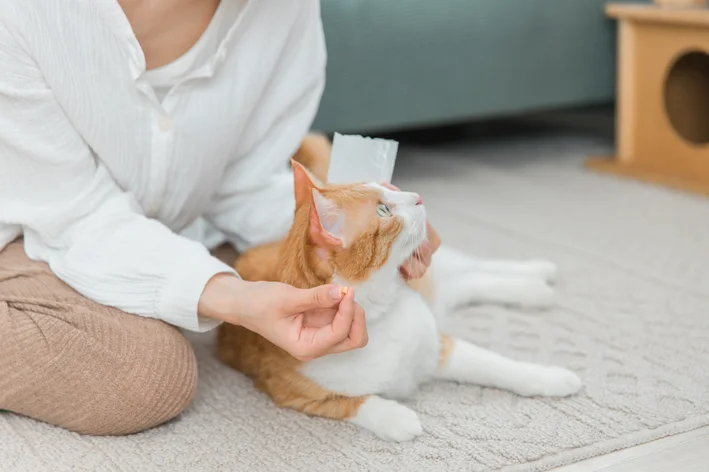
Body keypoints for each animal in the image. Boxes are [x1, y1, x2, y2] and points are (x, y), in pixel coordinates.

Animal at [217, 158, 580, 442]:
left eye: (387, 190)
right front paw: (397, 417)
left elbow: (495, 365)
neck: (382, 312)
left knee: (473, 268)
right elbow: (353, 403)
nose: (416, 196)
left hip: (438, 272)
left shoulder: (439, 346)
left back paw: (537, 275)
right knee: (466, 282)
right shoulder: (290, 392)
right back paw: (536, 289)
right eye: (383, 210)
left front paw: (549, 377)